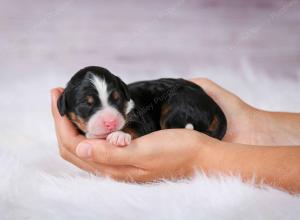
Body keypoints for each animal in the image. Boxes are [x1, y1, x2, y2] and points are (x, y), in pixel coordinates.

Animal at [58, 66, 227, 147]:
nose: (111, 123)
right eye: (86, 104)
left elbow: (134, 128)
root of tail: (214, 105)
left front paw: (119, 136)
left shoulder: (143, 120)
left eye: (117, 99)